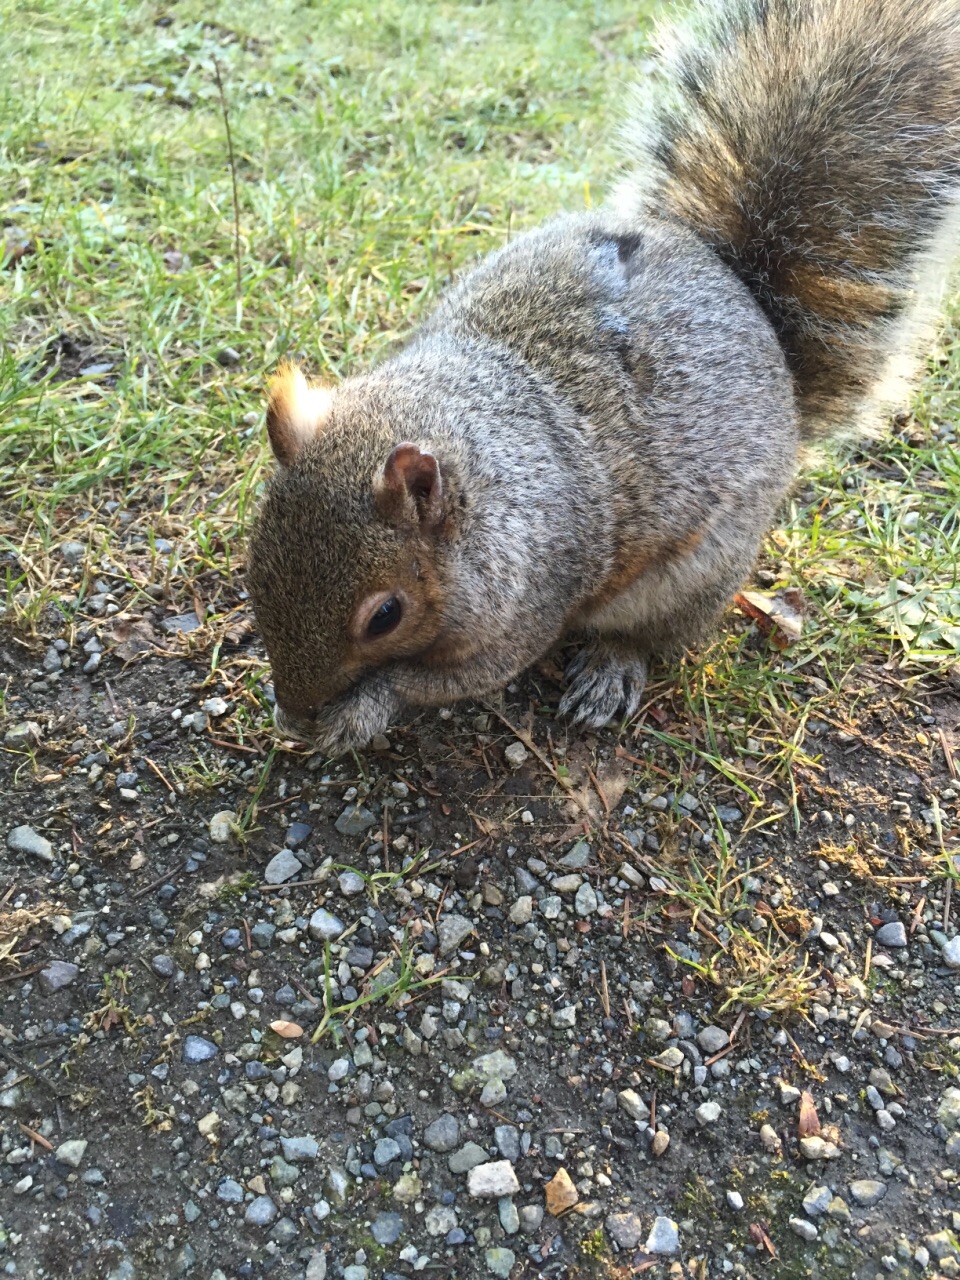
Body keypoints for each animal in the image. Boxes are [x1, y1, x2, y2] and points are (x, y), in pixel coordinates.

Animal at [245, 0, 960, 752]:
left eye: (385, 615)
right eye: (255, 563)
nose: (296, 708)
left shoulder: (526, 606)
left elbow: (442, 679)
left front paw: (359, 710)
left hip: (692, 577)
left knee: (650, 638)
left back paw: (611, 670)